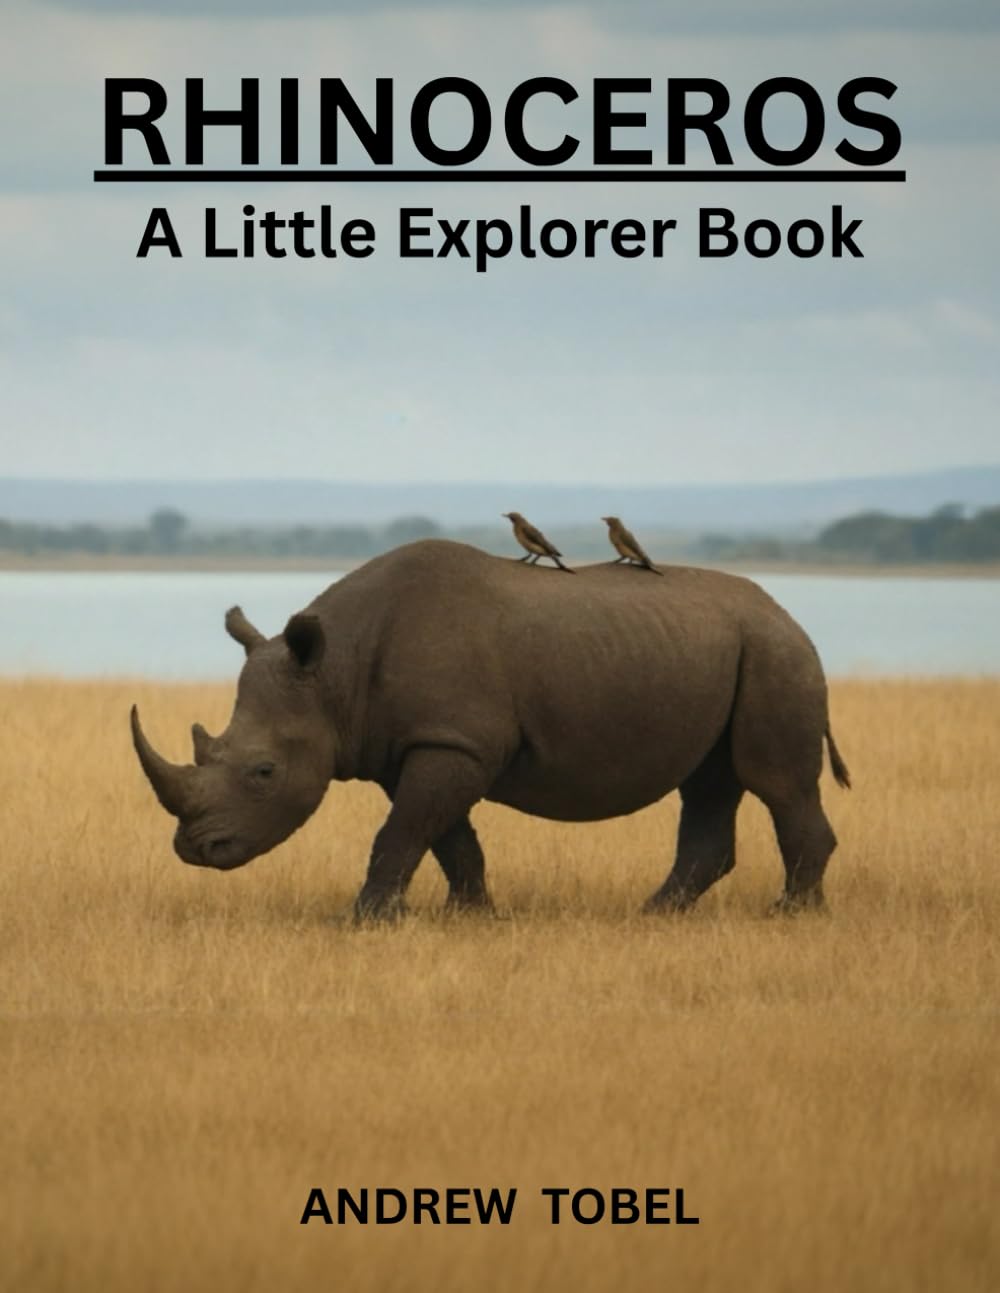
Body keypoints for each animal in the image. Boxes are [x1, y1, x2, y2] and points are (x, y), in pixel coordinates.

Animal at [131, 539, 850, 918]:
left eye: (264, 772)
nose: (196, 849)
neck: (335, 674)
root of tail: (789, 617)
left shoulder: (452, 740)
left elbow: (403, 831)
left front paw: (364, 920)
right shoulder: (426, 743)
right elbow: (444, 836)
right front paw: (470, 915)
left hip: (776, 653)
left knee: (775, 782)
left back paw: (791, 915)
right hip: (731, 650)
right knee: (708, 782)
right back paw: (656, 914)